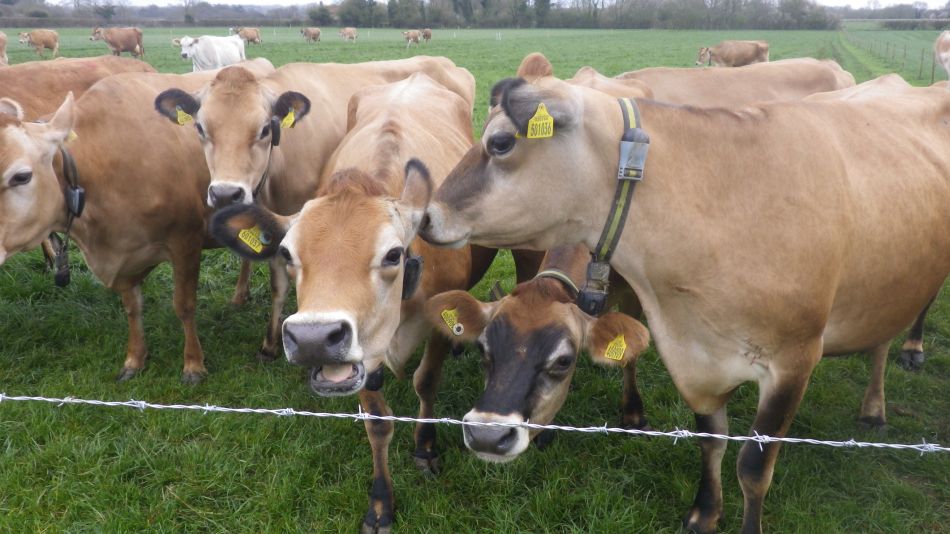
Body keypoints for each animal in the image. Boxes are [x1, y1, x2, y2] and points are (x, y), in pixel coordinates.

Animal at [0, 60, 275, 382]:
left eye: (21, 176)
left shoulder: (186, 240)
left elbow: (184, 305)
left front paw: (193, 363)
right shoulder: (123, 252)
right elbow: (132, 308)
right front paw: (135, 359)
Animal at [208, 72, 488, 533]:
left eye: (393, 254)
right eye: (287, 254)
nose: (313, 339)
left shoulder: (438, 324)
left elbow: (426, 382)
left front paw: (426, 448)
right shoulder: (362, 359)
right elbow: (377, 423)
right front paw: (380, 502)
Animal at [427, 244, 651, 460]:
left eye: (564, 361)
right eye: (481, 348)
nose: (487, 436)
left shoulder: (636, 293)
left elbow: (630, 358)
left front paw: (634, 414)